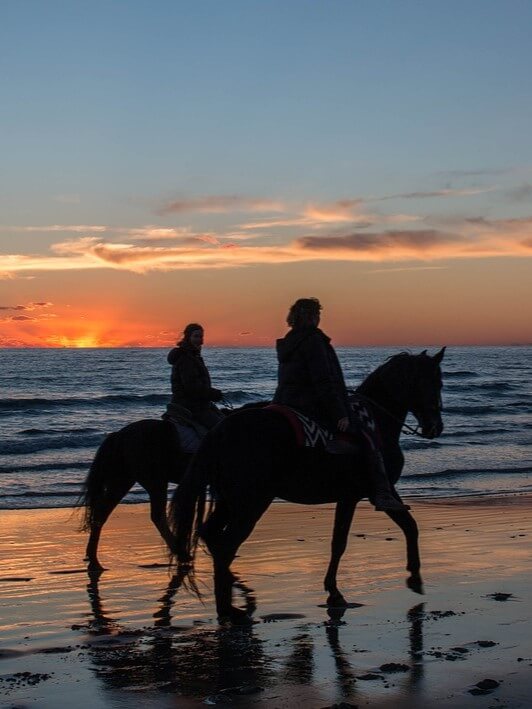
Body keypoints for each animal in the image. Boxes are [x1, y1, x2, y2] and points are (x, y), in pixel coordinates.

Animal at [172, 348, 446, 620]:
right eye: (436, 382)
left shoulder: (358, 495)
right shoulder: (371, 492)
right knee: (226, 545)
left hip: (231, 501)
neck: (378, 422)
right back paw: (228, 609)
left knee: (212, 536)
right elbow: (352, 540)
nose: (436, 426)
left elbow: (396, 529)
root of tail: (220, 431)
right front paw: (411, 578)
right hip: (251, 503)